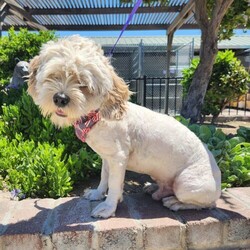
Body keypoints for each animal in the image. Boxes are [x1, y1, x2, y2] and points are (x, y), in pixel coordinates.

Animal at [27, 36, 221, 218]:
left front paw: (107, 208)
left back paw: (175, 202)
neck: (98, 117)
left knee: (205, 204)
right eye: (53, 75)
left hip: (185, 184)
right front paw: (97, 194)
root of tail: (218, 184)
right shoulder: (106, 157)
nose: (60, 98)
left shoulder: (118, 158)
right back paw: (155, 190)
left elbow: (114, 184)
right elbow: (104, 177)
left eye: (83, 84)